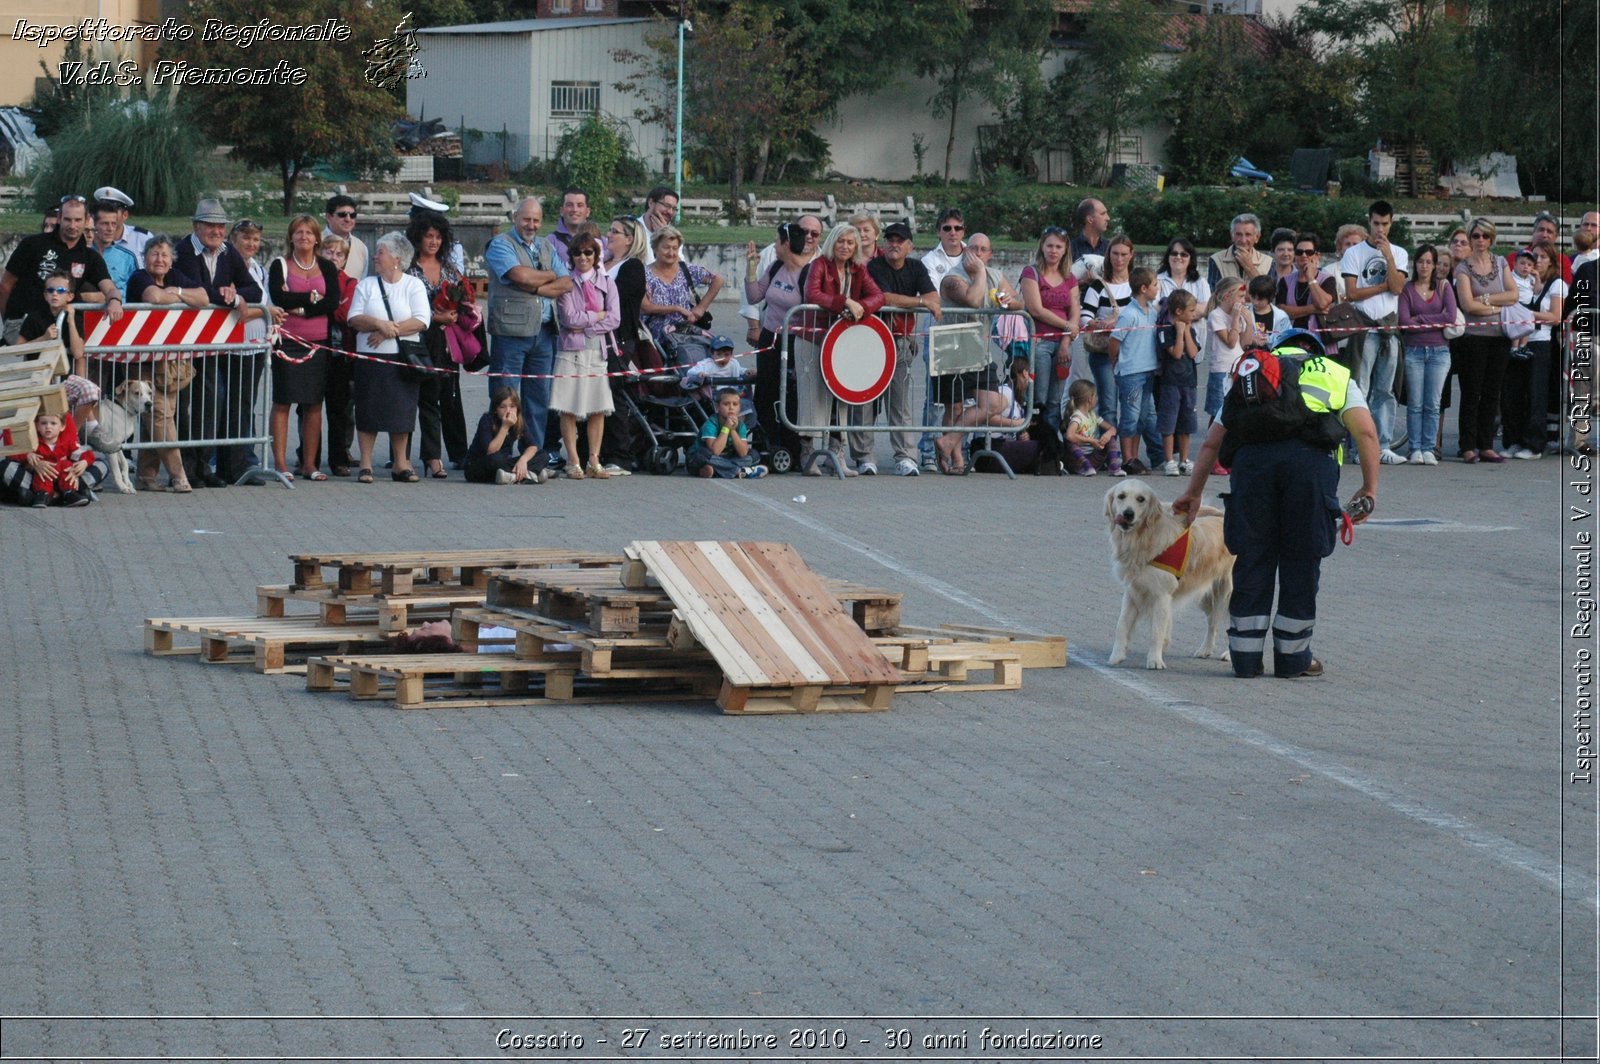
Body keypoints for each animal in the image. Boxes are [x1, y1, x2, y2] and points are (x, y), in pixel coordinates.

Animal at [1100, 480, 1235, 668]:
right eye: (1121, 496)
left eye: (1141, 499)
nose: (1128, 514)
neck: (1143, 538)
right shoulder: (1132, 591)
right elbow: (1122, 625)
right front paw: (1116, 656)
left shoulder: (1161, 595)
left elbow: (1156, 631)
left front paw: (1154, 660)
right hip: (1208, 593)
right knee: (1213, 622)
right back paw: (1205, 649)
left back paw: (1230, 654)